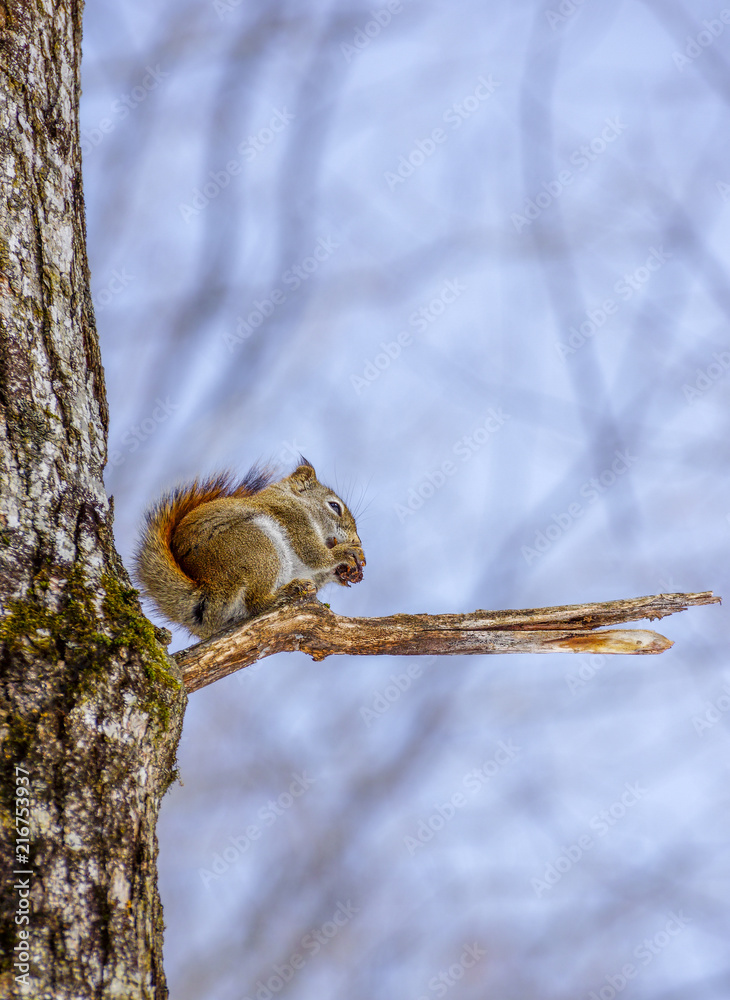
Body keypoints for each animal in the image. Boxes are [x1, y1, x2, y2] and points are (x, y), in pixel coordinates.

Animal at [134, 460, 365, 640]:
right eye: (334, 506)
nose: (357, 540)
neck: (295, 500)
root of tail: (209, 590)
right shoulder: (293, 518)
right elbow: (314, 555)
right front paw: (344, 552)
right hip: (259, 548)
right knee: (256, 603)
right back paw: (286, 592)